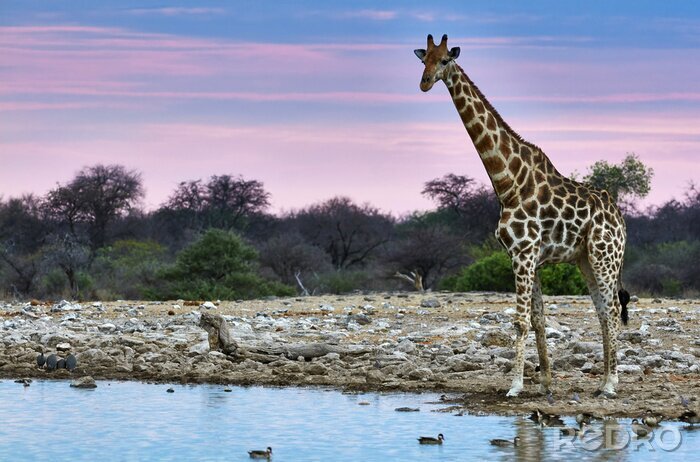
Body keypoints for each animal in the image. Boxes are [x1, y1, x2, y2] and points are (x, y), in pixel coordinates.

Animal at [414, 34, 630, 398]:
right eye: (423, 59)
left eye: (445, 60)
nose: (425, 83)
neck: (507, 182)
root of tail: (621, 220)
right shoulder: (529, 257)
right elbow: (538, 319)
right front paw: (545, 382)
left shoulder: (523, 253)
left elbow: (519, 320)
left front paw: (515, 385)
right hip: (586, 259)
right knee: (602, 310)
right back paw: (603, 381)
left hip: (605, 256)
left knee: (613, 309)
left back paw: (612, 384)